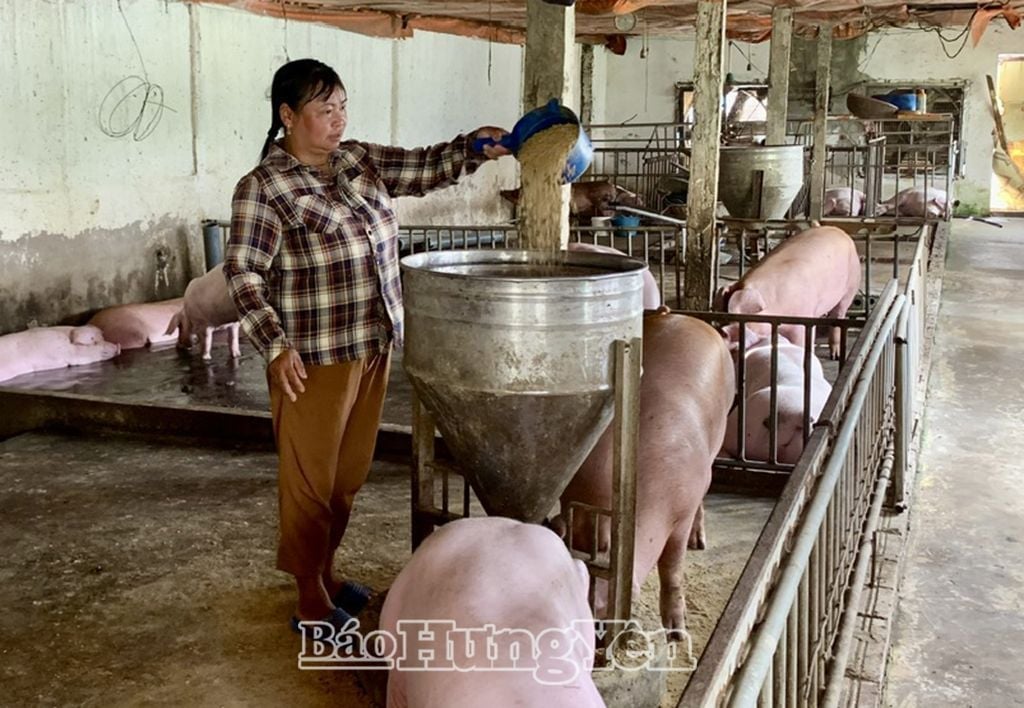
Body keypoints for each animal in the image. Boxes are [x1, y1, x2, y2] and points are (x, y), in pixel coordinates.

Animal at [557, 309, 733, 635]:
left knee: (706, 492)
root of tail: (685, 317)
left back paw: (699, 543)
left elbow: (672, 566)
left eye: (599, 615)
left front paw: (676, 631)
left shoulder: (680, 513)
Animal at [720, 227, 864, 360]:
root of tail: (840, 231)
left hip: (851, 286)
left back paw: (835, 356)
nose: (724, 333)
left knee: (838, 314)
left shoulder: (803, 320)